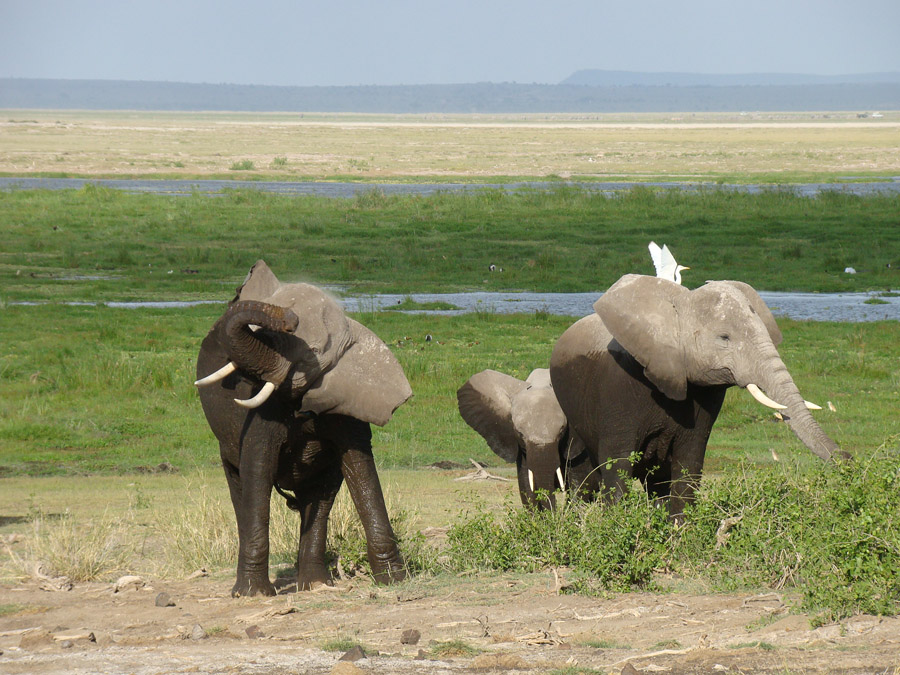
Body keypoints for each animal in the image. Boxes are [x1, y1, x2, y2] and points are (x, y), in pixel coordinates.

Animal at [195, 262, 414, 596]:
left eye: (311, 351)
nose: (289, 318)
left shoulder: (349, 404)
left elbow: (360, 466)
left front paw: (394, 580)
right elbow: (258, 467)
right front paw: (253, 594)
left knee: (320, 496)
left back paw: (315, 585)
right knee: (240, 488)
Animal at [548, 274, 844, 524]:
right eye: (724, 338)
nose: (848, 459)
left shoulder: (706, 394)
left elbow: (690, 460)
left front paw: (679, 533)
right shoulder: (618, 386)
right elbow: (618, 463)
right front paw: (616, 528)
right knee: (582, 472)